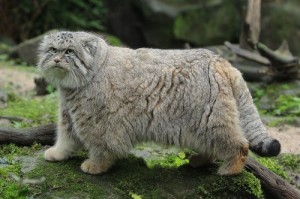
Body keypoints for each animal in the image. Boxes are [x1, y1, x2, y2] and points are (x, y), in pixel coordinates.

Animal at [38, 31, 282, 176]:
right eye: (52, 50)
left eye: (69, 52)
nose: (57, 59)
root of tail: (221, 60)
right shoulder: (69, 114)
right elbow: (66, 138)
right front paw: (58, 153)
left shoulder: (97, 122)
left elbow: (101, 148)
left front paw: (96, 166)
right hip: (201, 125)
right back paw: (201, 160)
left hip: (211, 119)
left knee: (240, 144)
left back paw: (230, 168)